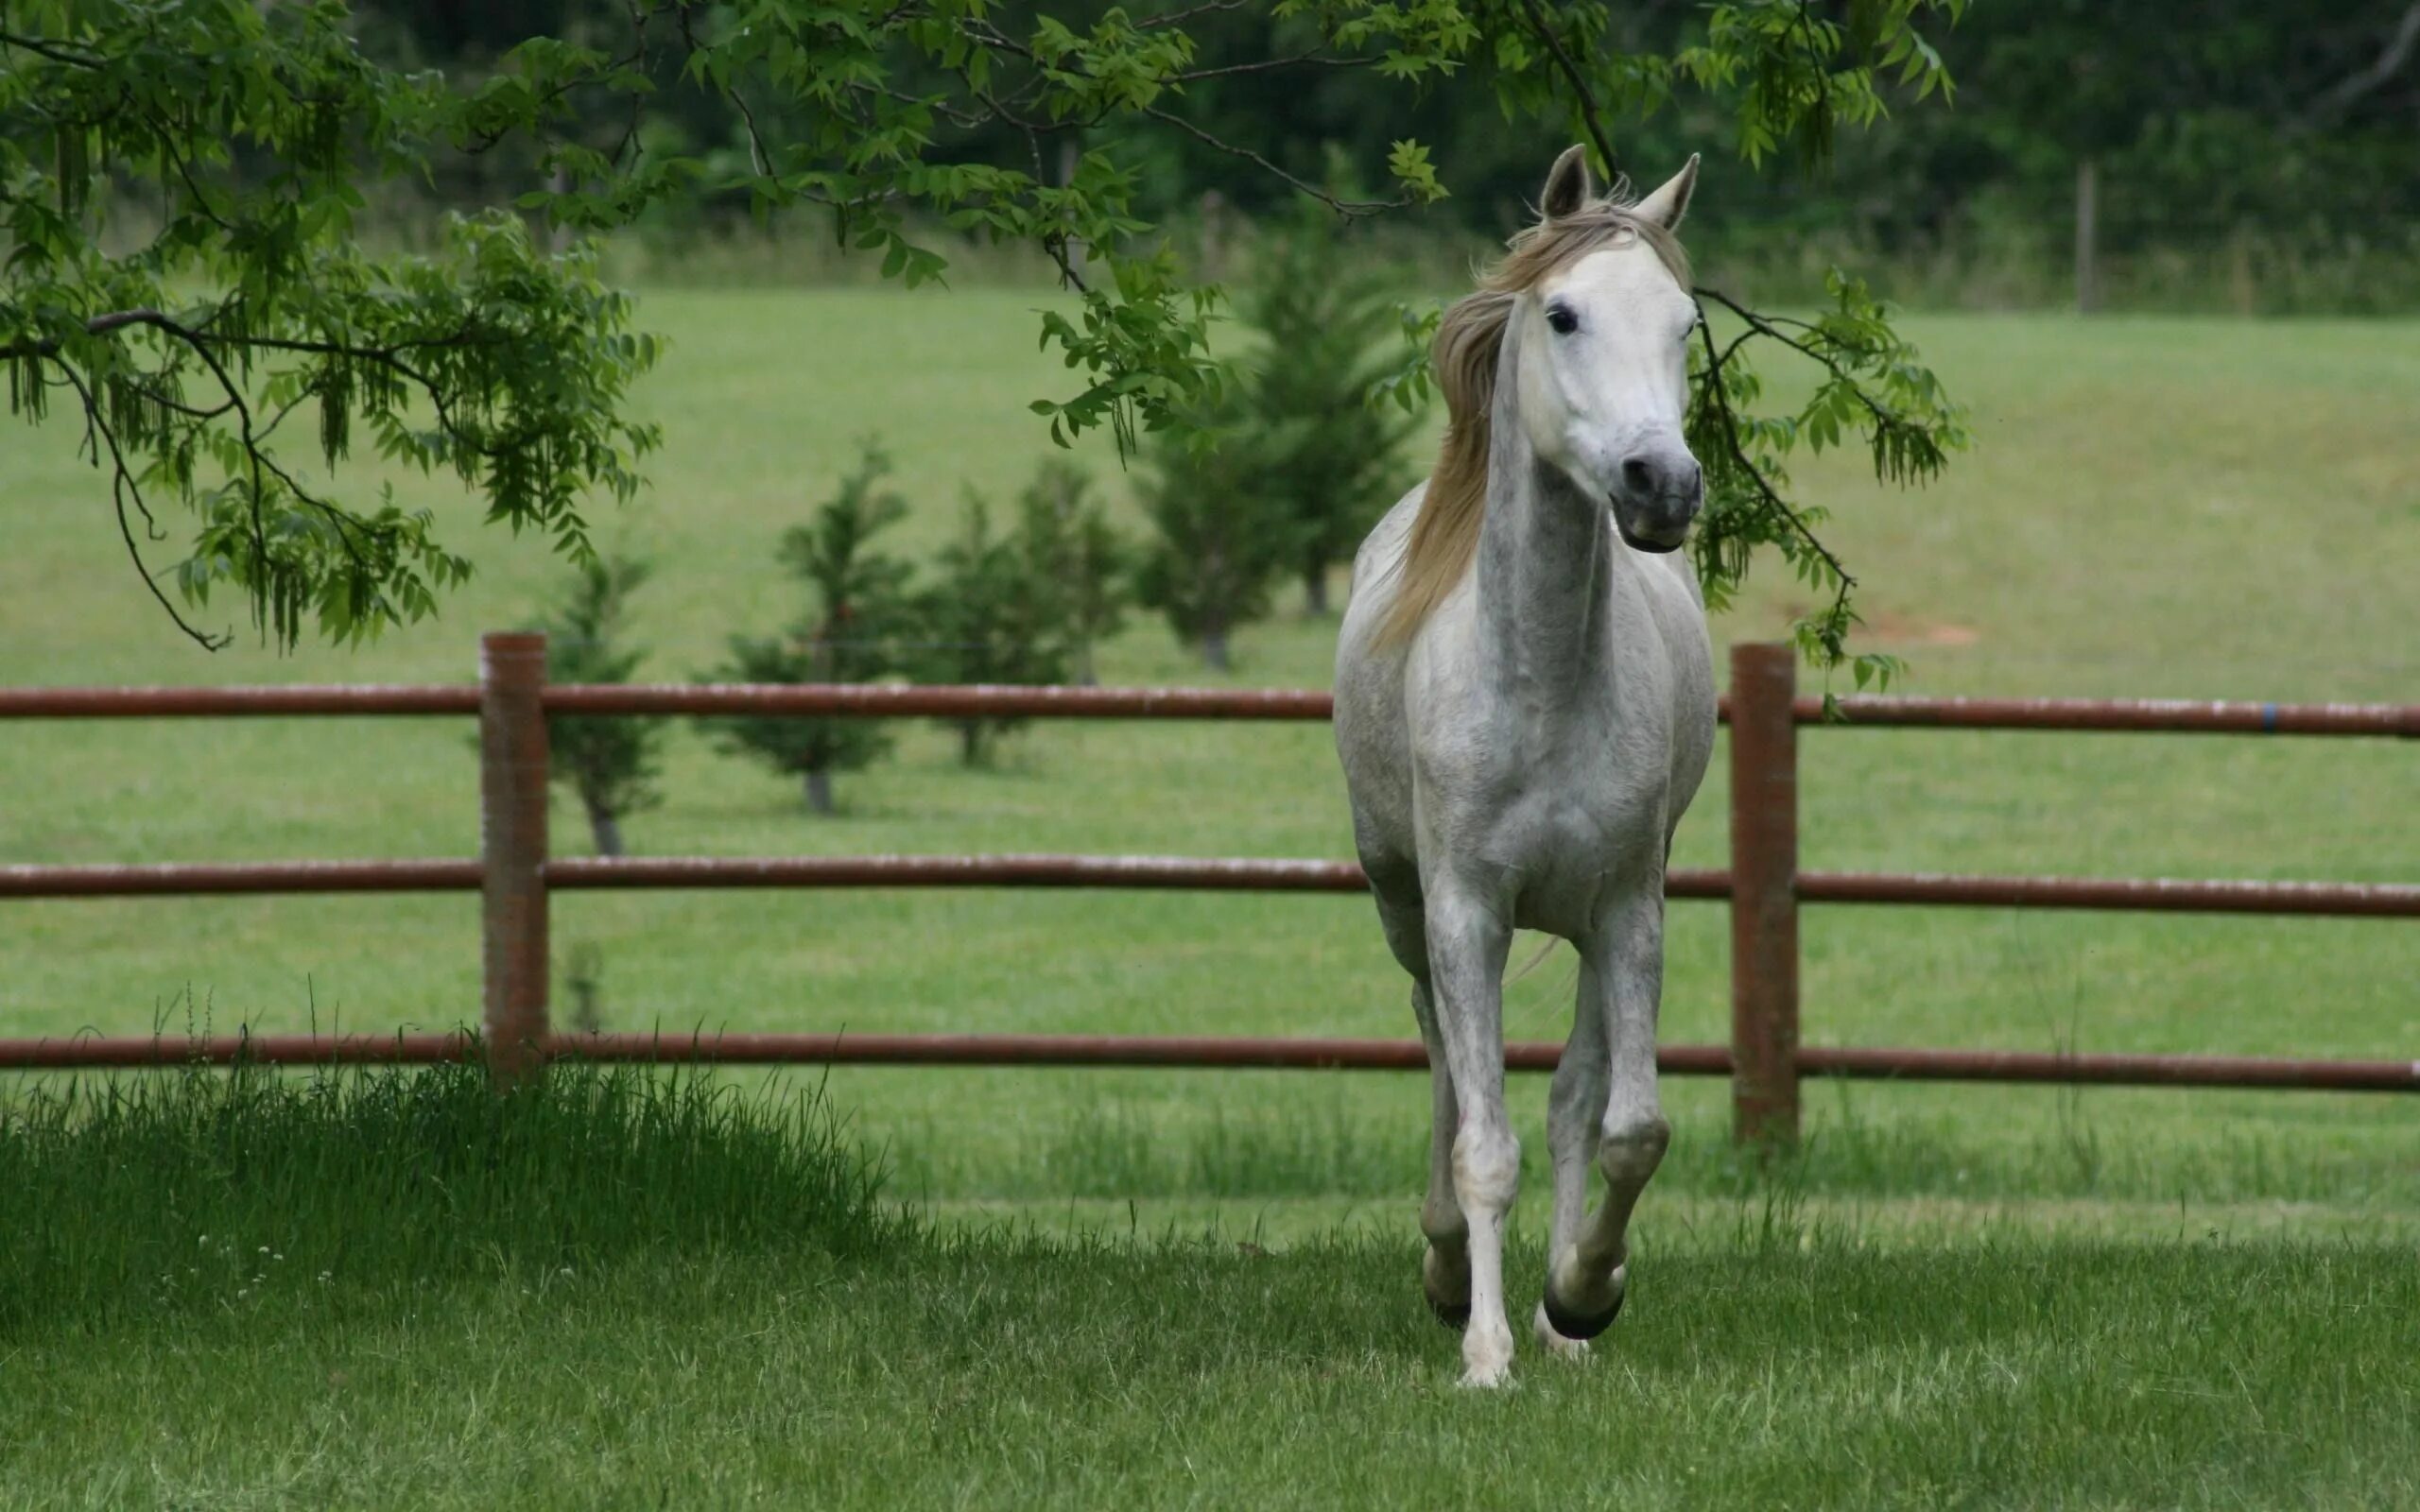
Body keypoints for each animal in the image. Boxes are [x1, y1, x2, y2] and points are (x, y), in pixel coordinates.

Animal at [1336, 147, 1713, 1383]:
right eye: (1562, 314)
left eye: (1685, 324)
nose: (1661, 485)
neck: (1540, 684)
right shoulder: (1466, 911)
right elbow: (1482, 1140)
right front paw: (1485, 1353)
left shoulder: (1628, 908)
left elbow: (1623, 1125)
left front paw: (1581, 1297)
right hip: (1405, 910)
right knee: (1445, 1072)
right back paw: (1451, 1275)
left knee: (1571, 1101)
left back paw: (1555, 1321)